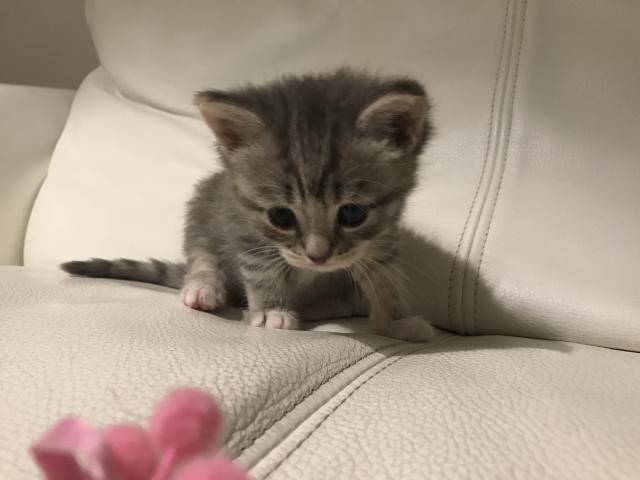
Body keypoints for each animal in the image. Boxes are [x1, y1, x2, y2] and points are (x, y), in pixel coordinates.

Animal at [61, 68, 435, 341]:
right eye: (281, 216)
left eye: (353, 213)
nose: (317, 257)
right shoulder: (245, 230)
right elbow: (261, 269)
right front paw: (270, 310)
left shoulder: (382, 238)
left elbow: (386, 279)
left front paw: (395, 322)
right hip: (202, 204)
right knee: (201, 254)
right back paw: (203, 287)